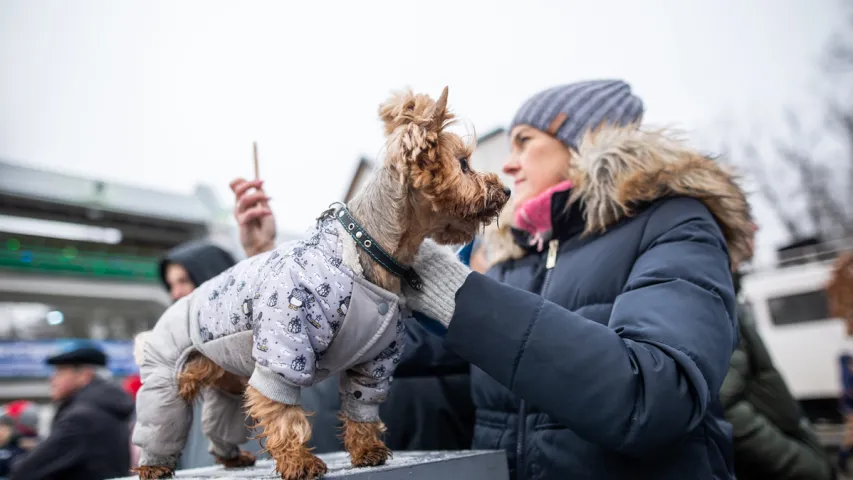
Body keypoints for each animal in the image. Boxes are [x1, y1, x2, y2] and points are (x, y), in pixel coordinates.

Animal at [131, 87, 506, 480]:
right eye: (463, 164)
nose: (506, 190)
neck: (365, 247)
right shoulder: (284, 346)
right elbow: (283, 414)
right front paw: (299, 462)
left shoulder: (376, 361)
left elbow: (362, 408)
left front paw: (367, 450)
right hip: (166, 380)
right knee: (162, 422)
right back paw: (153, 465)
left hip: (227, 381)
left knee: (220, 420)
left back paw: (232, 457)